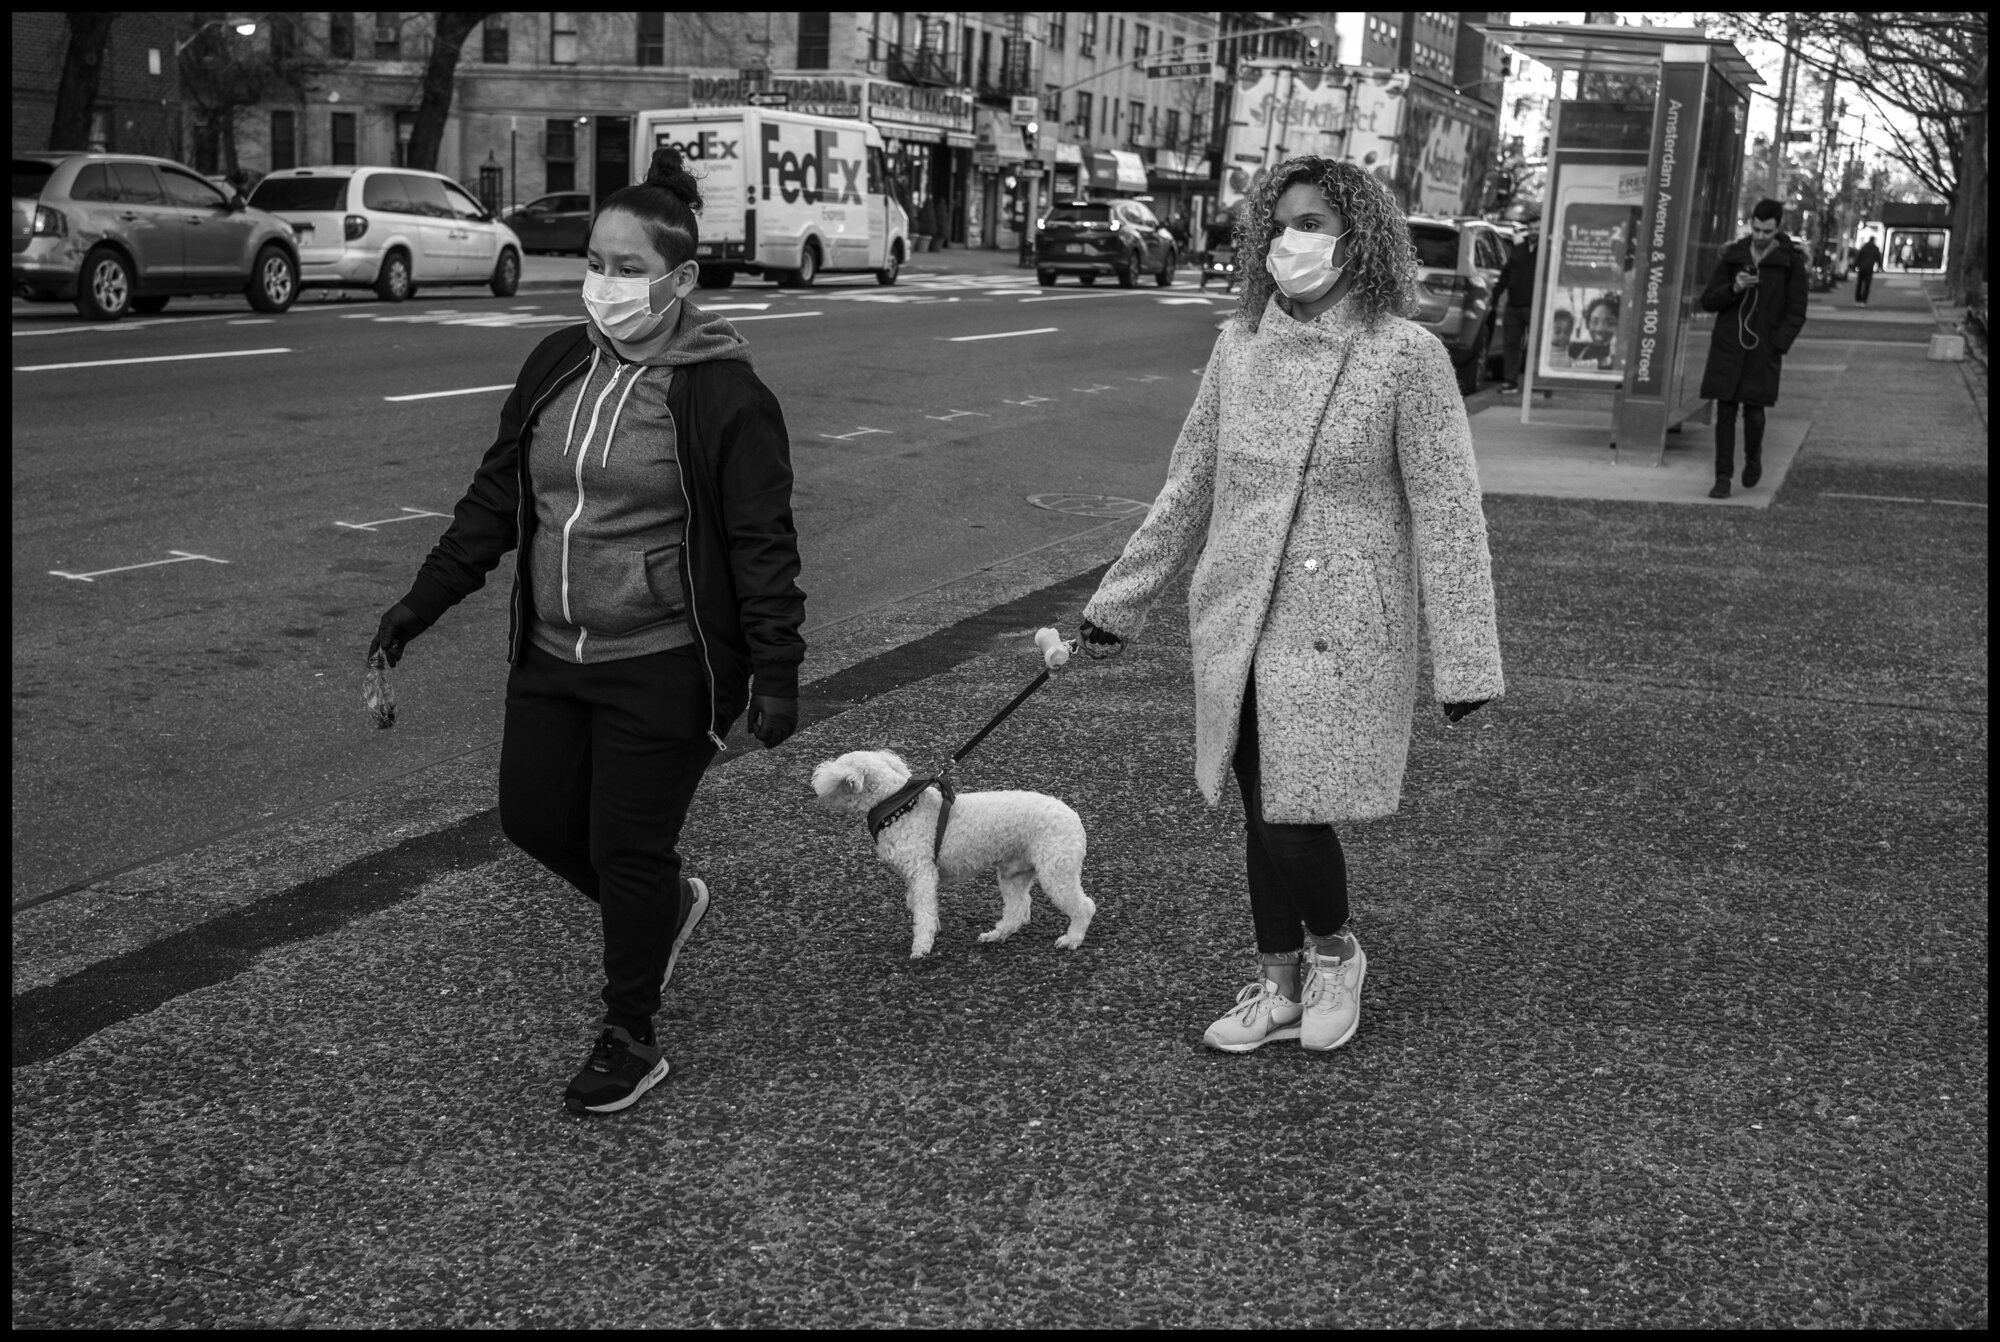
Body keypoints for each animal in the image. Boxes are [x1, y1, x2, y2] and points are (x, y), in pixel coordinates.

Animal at [808, 752, 1096, 960]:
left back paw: (1072, 939)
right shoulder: (917, 877)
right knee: (1018, 910)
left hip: (1056, 871)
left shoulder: (922, 874)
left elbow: (923, 911)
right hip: (1014, 872)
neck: (897, 806)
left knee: (1084, 907)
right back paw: (996, 935)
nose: (816, 779)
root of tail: (1074, 817)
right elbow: (919, 905)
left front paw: (922, 946)